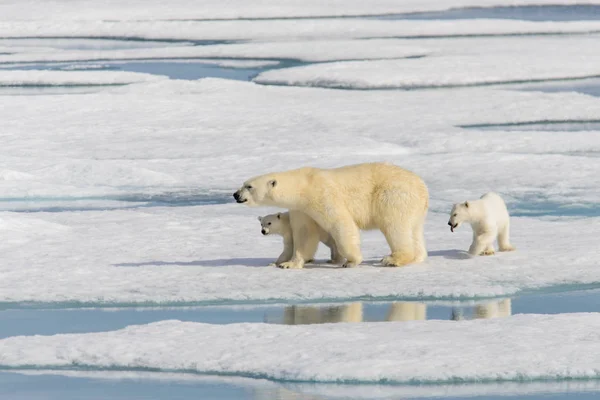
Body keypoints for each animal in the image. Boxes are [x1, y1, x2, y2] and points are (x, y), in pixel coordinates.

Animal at [232, 162, 428, 268]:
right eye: (243, 184)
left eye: (249, 186)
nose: (235, 195)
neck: (303, 186)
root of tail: (422, 186)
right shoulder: (301, 209)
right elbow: (305, 233)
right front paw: (289, 264)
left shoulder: (322, 194)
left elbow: (340, 223)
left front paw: (352, 261)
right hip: (414, 206)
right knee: (413, 230)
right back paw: (417, 257)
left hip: (393, 195)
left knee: (394, 226)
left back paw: (393, 259)